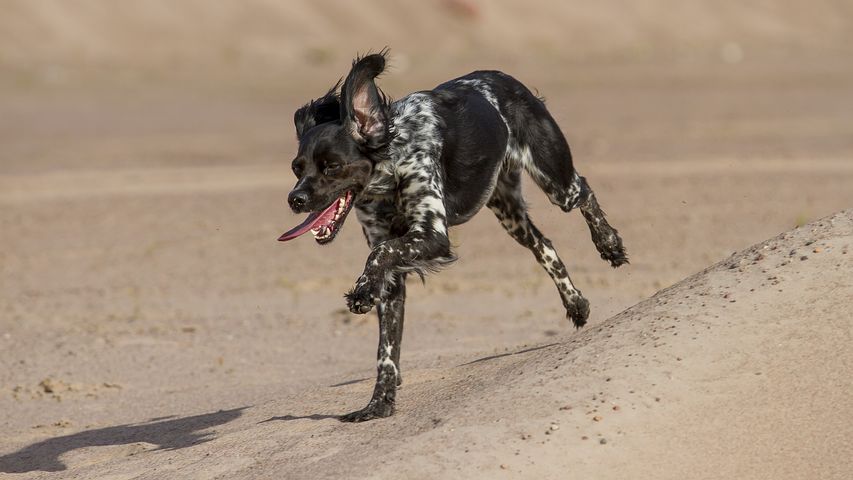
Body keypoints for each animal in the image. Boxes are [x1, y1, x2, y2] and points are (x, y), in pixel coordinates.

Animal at [280, 50, 624, 422]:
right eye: (297, 168)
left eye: (331, 166)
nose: (295, 199)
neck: (392, 167)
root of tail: (501, 77)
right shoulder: (393, 275)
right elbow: (387, 346)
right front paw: (378, 404)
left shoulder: (432, 234)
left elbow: (381, 253)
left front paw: (360, 292)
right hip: (507, 210)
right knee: (543, 245)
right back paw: (576, 304)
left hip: (555, 182)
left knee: (583, 191)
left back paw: (609, 245)